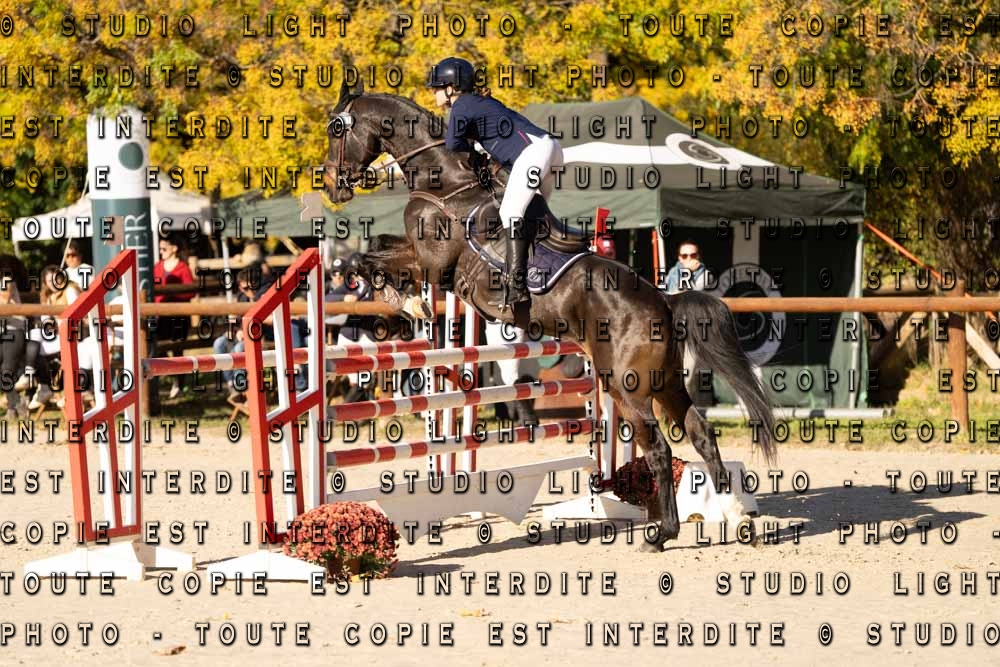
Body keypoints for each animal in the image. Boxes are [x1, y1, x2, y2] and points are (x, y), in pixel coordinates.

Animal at [321, 81, 776, 551]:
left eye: (336, 129)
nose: (332, 187)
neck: (446, 181)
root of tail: (665, 303)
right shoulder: (421, 257)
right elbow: (374, 251)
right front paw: (408, 300)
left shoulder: (432, 264)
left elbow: (369, 259)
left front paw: (407, 300)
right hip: (665, 382)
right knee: (701, 434)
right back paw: (736, 518)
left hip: (626, 388)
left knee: (659, 449)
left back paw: (662, 533)